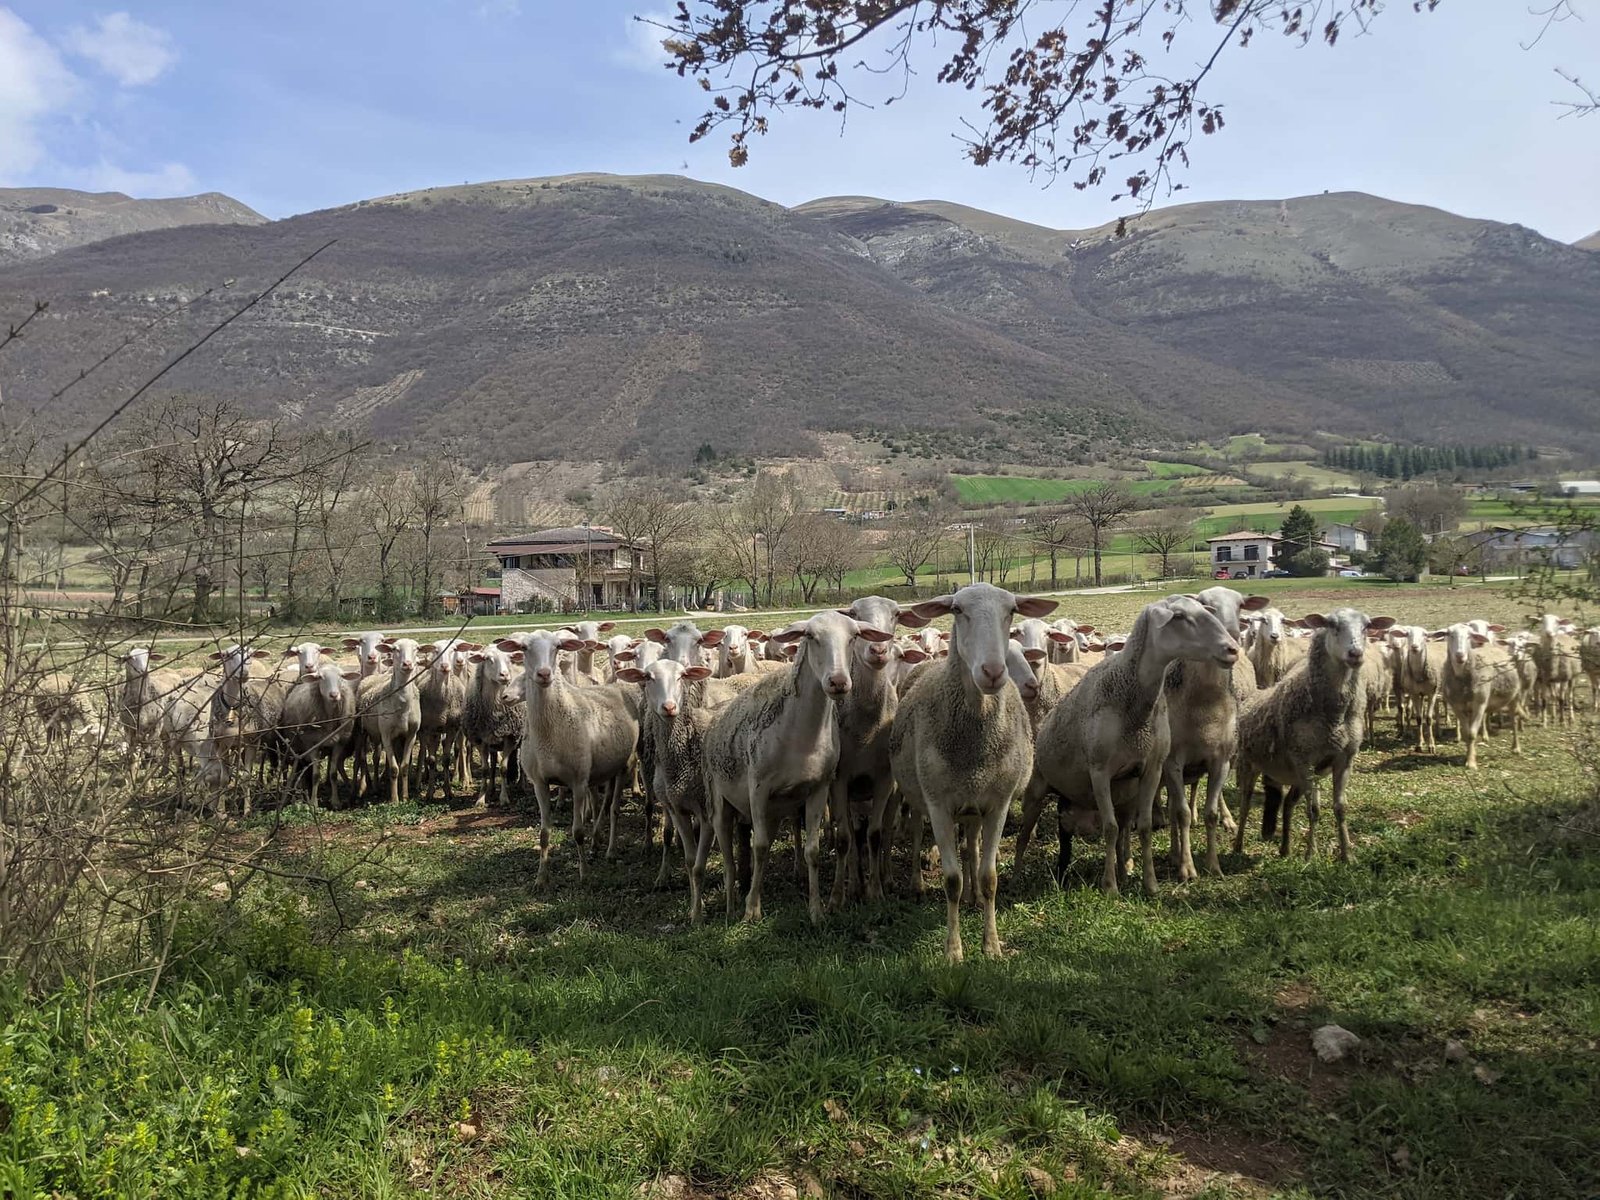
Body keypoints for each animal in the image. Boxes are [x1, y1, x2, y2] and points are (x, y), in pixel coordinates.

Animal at [496, 633, 640, 889]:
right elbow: (544, 833)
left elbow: (578, 831)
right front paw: (541, 878)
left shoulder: (578, 782)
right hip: (603, 769)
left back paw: (610, 850)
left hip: (624, 764)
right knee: (601, 804)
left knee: (613, 809)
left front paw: (584, 875)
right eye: (524, 648)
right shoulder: (540, 783)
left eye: (557, 647)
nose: (544, 674)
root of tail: (616, 685)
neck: (549, 733)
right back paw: (597, 841)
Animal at [1030, 598, 1241, 896]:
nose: (1232, 649)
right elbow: (1109, 828)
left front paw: (1150, 884)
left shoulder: (1152, 768)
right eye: (1179, 616)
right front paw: (1109, 886)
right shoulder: (1099, 770)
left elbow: (1143, 827)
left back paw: (1125, 866)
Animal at [1228, 611, 1395, 864]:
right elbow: (1313, 810)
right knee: (1245, 802)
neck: (1334, 716)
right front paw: (1310, 854)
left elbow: (1340, 808)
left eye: (1367, 626)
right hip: (1250, 764)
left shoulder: (1343, 760)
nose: (1355, 653)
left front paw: (1347, 854)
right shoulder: (1304, 760)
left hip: (1293, 775)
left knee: (1287, 804)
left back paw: (1285, 848)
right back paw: (1237, 846)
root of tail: (1254, 696)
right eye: (1332, 624)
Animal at [1433, 620, 1529, 771]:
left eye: (1469, 635)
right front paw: (1469, 756)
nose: (1460, 655)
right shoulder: (1457, 706)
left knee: (1514, 720)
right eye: (1449, 634)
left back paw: (1516, 747)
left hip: (1513, 697)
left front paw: (1471, 763)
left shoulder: (1479, 704)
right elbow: (1467, 733)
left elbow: (1472, 733)